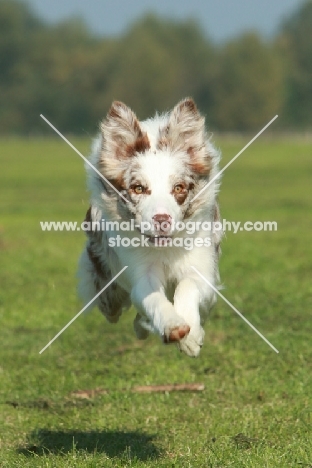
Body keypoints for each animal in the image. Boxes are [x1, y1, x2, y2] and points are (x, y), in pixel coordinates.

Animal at [79, 97, 223, 356]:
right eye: (138, 188)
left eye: (178, 188)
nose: (162, 219)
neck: (165, 250)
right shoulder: (141, 272)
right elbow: (152, 298)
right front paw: (173, 326)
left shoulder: (202, 269)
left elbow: (187, 286)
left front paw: (190, 337)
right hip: (109, 295)